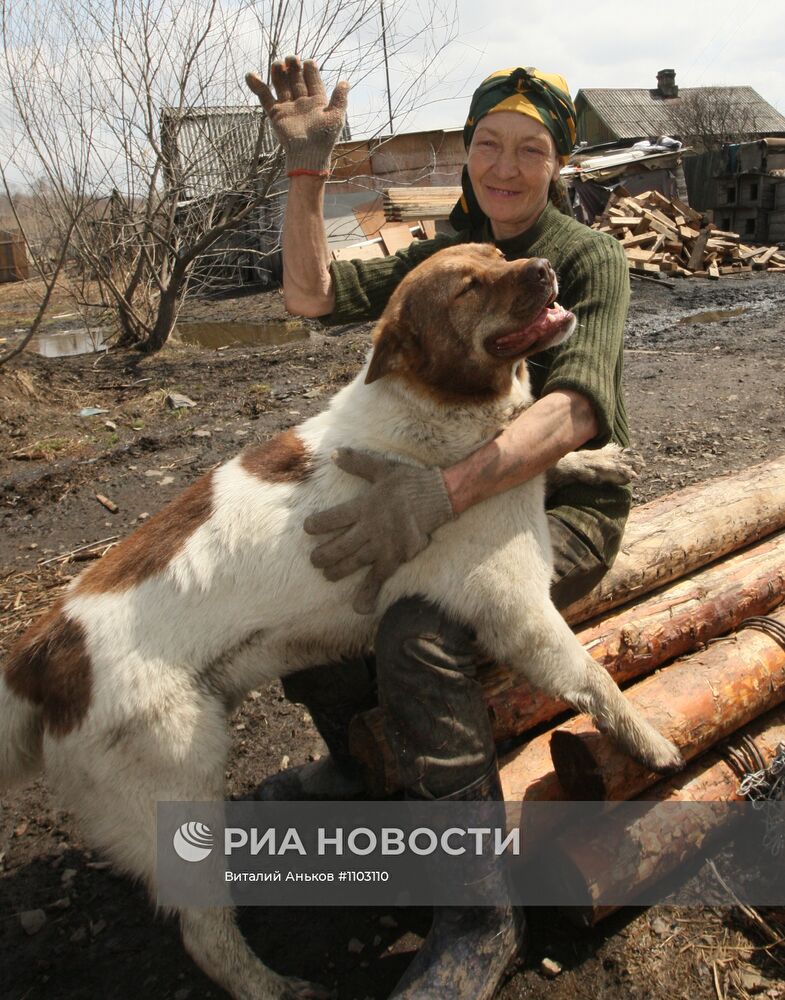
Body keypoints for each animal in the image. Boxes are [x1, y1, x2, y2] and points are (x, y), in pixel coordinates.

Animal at [1, 244, 680, 1000]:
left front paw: (594, 456)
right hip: (179, 782)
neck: (434, 414)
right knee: (206, 936)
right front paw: (648, 741)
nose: (540, 265)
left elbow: (542, 452)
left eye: (498, 255)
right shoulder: (517, 608)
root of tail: (40, 655)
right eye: (468, 286)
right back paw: (275, 988)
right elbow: (594, 679)